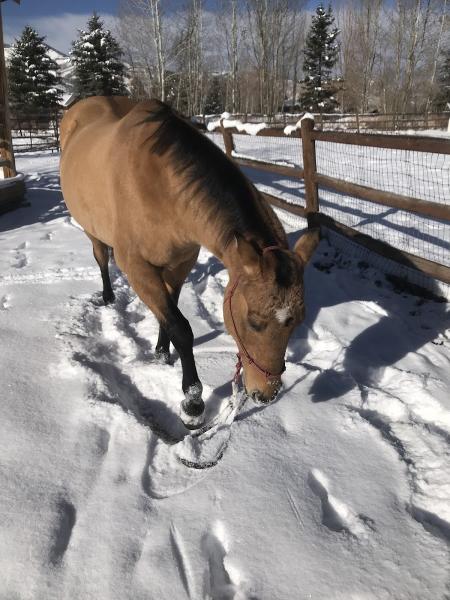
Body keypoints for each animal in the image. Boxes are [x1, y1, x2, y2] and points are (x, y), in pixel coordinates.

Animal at [59, 97, 320, 426]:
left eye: (297, 321)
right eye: (254, 322)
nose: (266, 394)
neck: (159, 185)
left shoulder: (180, 263)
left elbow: (169, 314)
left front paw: (161, 352)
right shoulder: (137, 267)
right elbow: (181, 328)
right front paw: (192, 402)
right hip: (92, 231)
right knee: (101, 258)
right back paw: (107, 296)